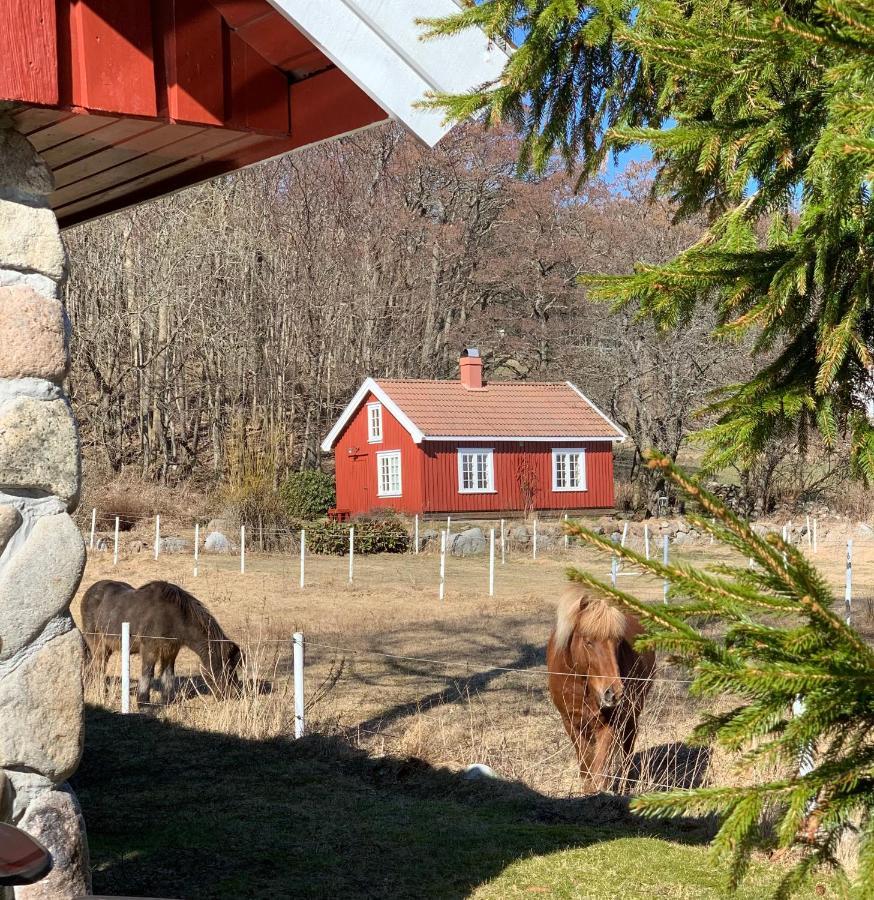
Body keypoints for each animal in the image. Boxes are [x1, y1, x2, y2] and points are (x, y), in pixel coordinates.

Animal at [81, 580, 242, 708]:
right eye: (228, 669)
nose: (234, 695)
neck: (173, 617)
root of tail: (89, 592)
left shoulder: (170, 651)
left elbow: (168, 674)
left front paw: (168, 700)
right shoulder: (150, 649)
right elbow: (148, 673)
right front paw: (143, 702)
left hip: (106, 648)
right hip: (97, 644)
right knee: (98, 666)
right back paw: (101, 691)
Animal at [544, 584, 656, 788]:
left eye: (618, 642)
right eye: (588, 641)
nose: (614, 693)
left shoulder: (609, 724)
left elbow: (598, 771)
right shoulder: (571, 723)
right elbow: (586, 766)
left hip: (633, 713)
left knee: (627, 746)